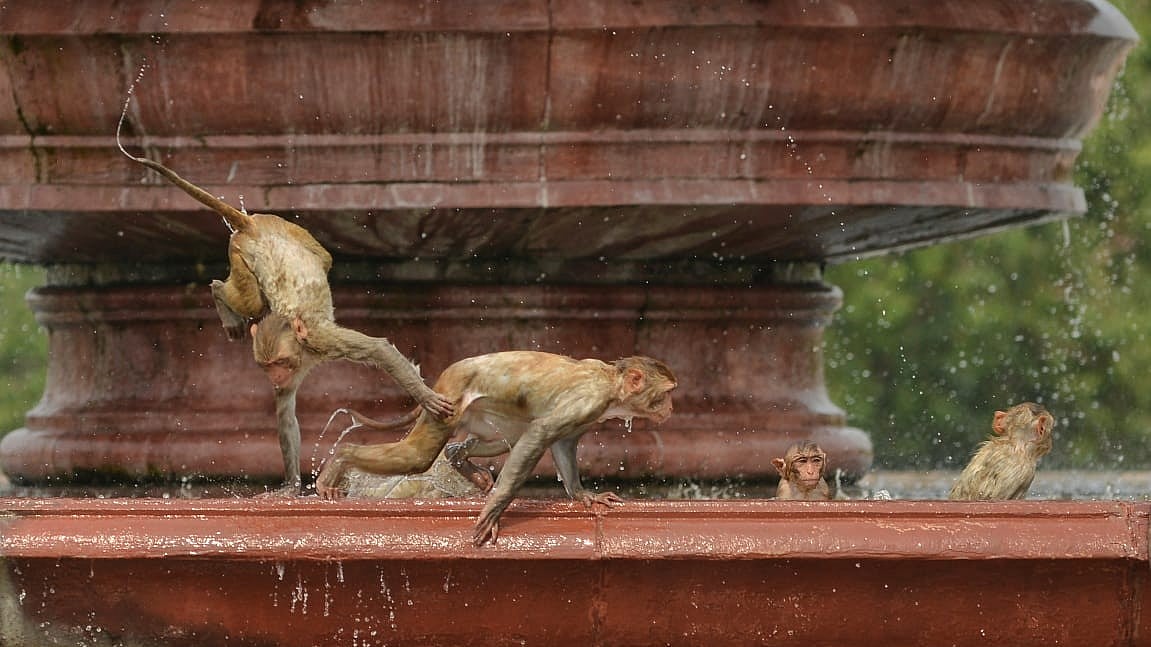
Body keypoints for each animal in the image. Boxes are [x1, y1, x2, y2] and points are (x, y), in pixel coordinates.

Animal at [116, 110, 453, 496]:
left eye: (277, 363)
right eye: (268, 367)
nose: (275, 375)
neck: (297, 338)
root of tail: (251, 225)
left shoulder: (320, 340)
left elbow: (378, 349)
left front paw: (425, 397)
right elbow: (285, 411)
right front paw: (291, 485)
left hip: (281, 230)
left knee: (297, 273)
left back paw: (222, 297)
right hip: (245, 249)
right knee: (250, 296)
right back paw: (222, 299)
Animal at [314, 351, 677, 546]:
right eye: (667, 393)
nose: (672, 408)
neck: (612, 385)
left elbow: (560, 442)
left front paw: (583, 494)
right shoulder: (588, 401)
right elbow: (541, 433)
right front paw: (493, 510)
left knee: (503, 438)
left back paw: (459, 459)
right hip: (449, 398)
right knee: (417, 457)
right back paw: (342, 459)